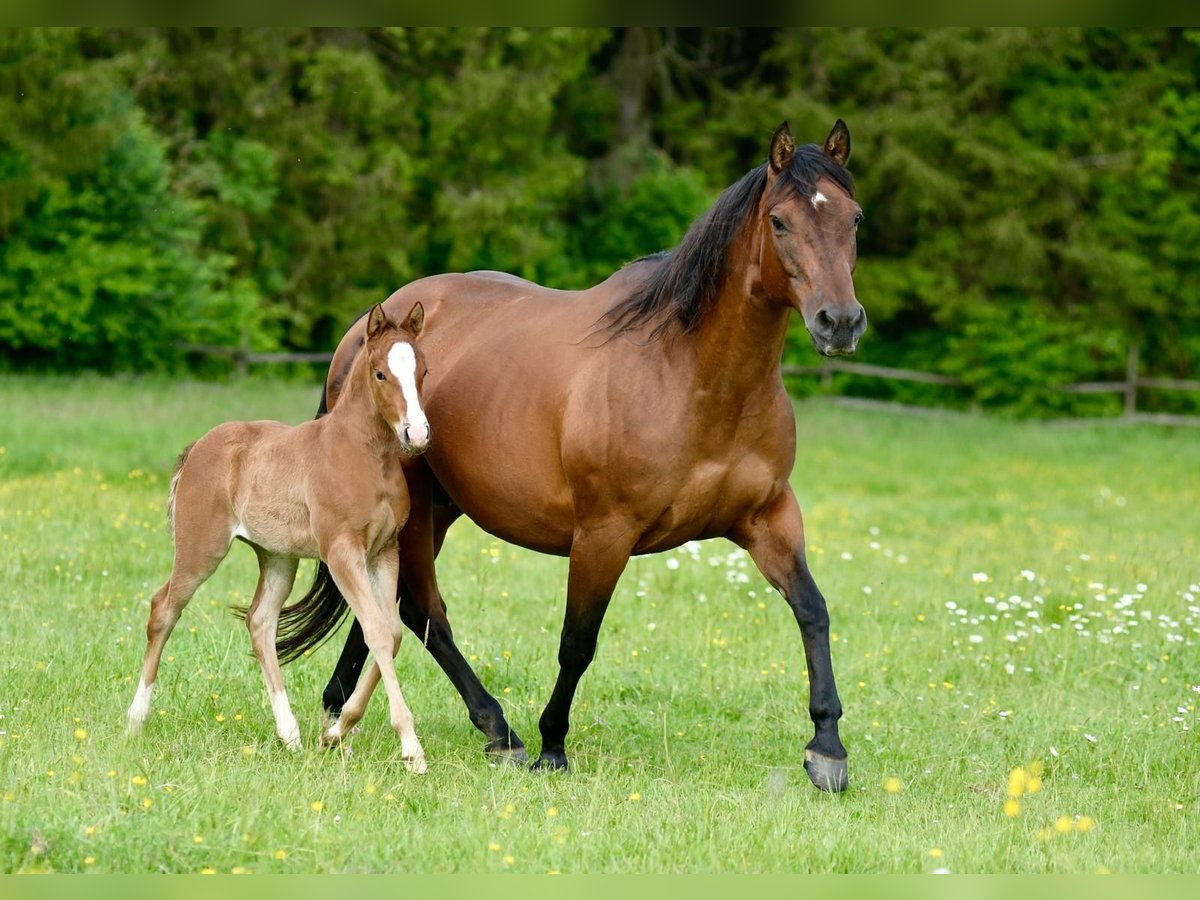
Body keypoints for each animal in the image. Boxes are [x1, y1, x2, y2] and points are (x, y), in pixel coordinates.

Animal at [129, 304, 429, 777]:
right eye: (381, 373)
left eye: (423, 371)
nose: (416, 435)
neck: (364, 455)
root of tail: (199, 446)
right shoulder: (341, 551)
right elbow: (378, 633)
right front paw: (411, 749)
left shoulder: (384, 551)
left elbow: (392, 635)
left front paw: (335, 731)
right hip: (202, 549)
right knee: (164, 609)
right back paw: (136, 719)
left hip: (277, 557)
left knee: (260, 622)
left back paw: (290, 735)